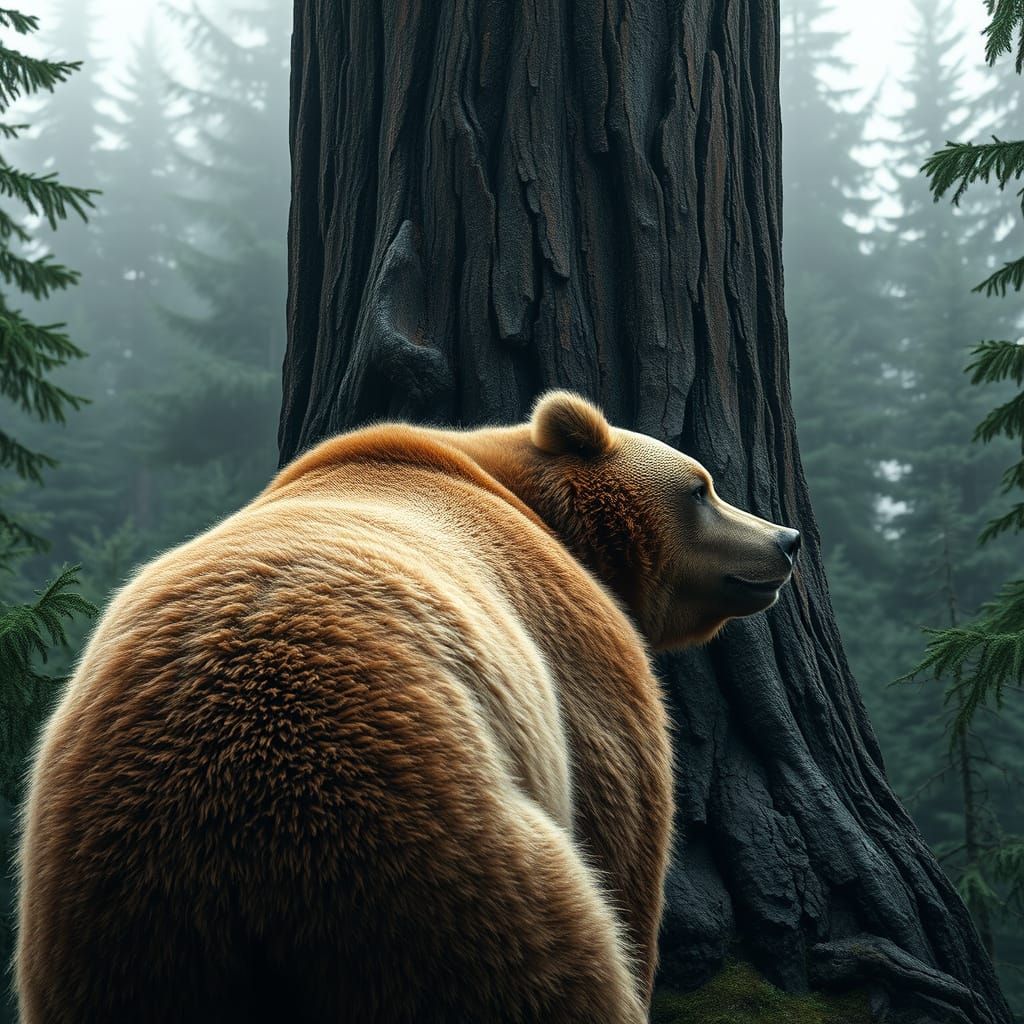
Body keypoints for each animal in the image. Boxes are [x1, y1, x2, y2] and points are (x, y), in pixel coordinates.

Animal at [16, 391, 799, 1024]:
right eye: (702, 487)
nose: (785, 540)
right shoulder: (574, 650)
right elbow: (623, 820)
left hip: (117, 916)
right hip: (423, 856)